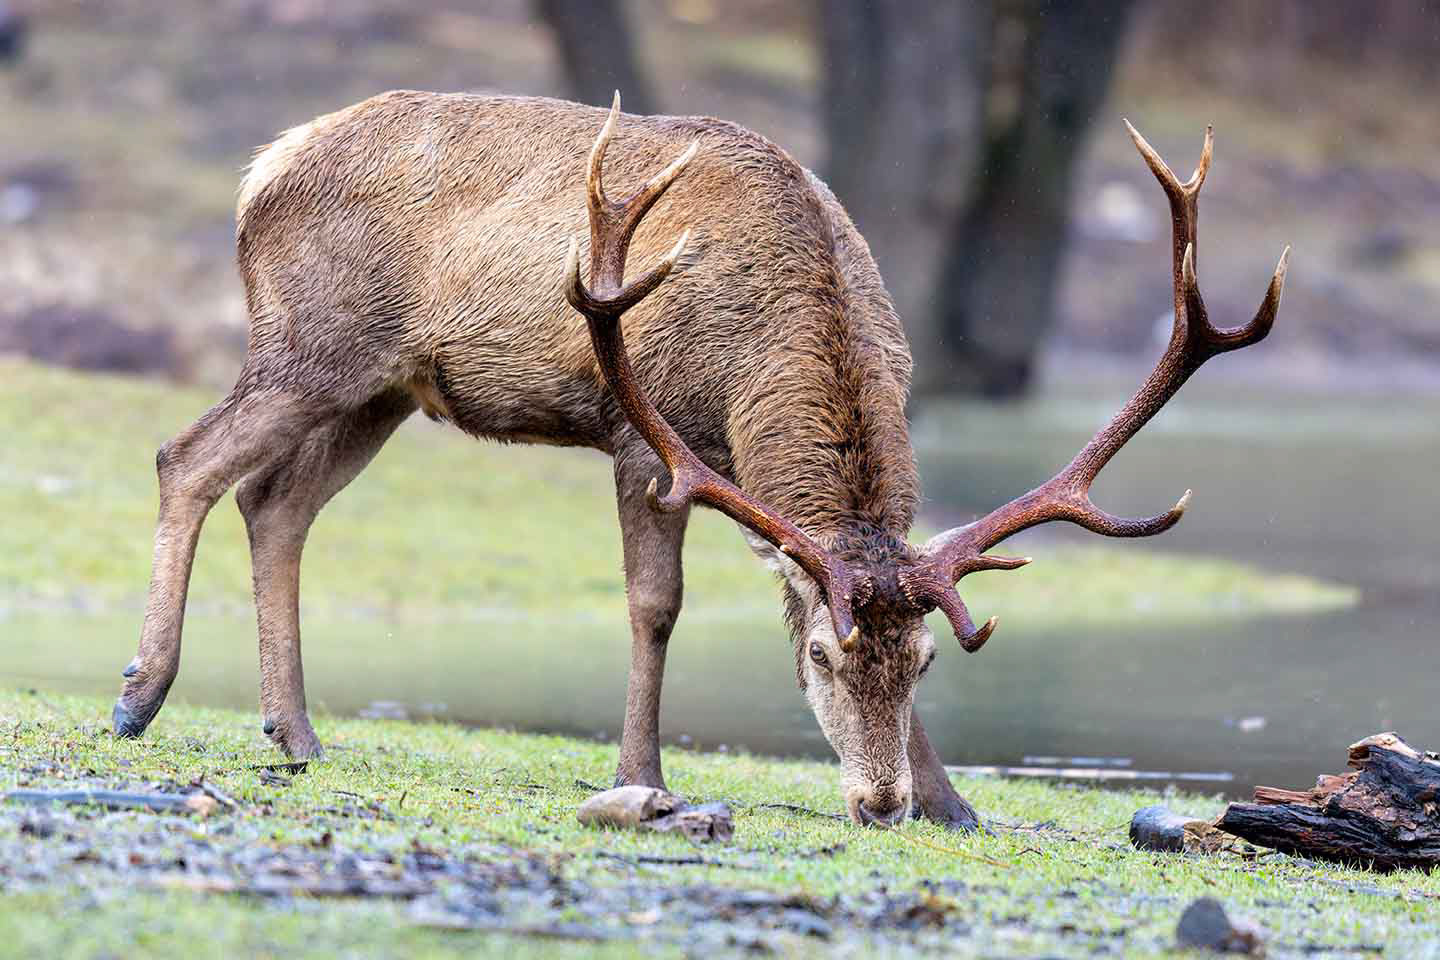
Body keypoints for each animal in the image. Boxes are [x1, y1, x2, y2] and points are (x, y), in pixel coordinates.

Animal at [113, 89, 1287, 829]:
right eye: (819, 659)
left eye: (924, 665)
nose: (878, 804)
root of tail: (262, 168)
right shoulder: (647, 436)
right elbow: (656, 604)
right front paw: (642, 774)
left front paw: (955, 804)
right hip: (313, 344)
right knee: (187, 457)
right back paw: (141, 694)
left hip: (383, 389)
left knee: (276, 502)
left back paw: (297, 733)